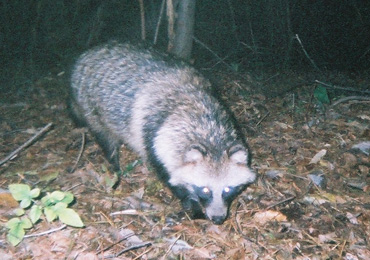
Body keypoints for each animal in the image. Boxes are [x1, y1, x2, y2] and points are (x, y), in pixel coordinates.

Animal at [69, 41, 256, 224]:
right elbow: (169, 176)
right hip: (91, 106)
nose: (218, 219)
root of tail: (88, 53)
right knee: (106, 139)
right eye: (205, 190)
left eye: (227, 189)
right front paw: (192, 204)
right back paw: (114, 165)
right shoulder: (154, 138)